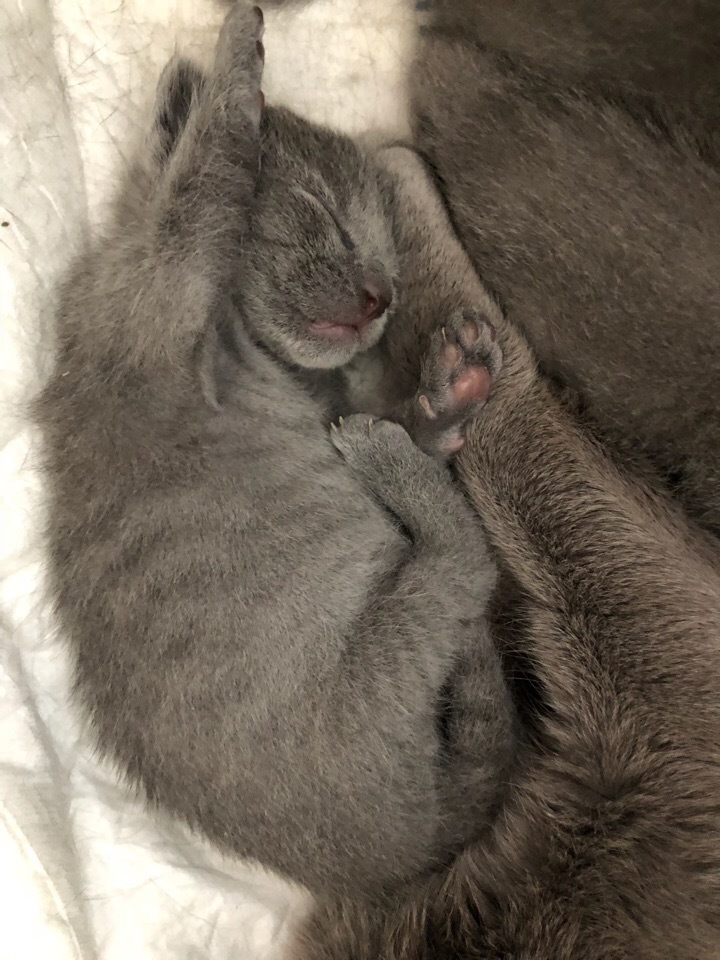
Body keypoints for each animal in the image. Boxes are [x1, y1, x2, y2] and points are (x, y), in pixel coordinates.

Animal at [36, 5, 516, 908]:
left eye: (390, 259)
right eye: (321, 211)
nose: (383, 297)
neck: (246, 341)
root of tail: (407, 858)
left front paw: (442, 397)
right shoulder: (154, 287)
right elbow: (210, 175)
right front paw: (239, 55)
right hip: (371, 664)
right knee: (464, 566)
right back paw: (394, 469)